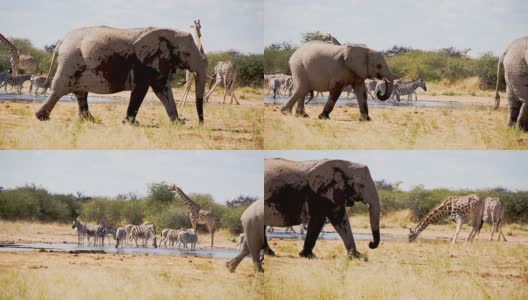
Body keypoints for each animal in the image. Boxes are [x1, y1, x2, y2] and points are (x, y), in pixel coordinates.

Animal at [34, 25, 208, 123]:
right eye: (187, 54)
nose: (200, 123)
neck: (169, 32)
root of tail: (61, 41)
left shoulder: (157, 62)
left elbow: (163, 89)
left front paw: (177, 123)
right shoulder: (141, 62)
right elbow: (141, 89)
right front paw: (130, 123)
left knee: (80, 93)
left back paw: (89, 121)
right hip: (70, 60)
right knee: (59, 89)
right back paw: (41, 118)